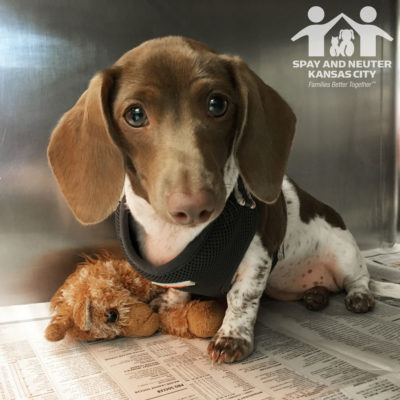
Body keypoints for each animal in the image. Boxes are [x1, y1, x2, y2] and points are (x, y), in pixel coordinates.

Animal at [47, 36, 400, 362]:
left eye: (217, 104)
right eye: (135, 115)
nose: (193, 206)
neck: (176, 236)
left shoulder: (258, 258)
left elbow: (241, 298)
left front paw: (232, 337)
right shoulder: (178, 276)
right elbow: (178, 291)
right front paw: (169, 305)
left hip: (345, 253)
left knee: (360, 279)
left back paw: (359, 296)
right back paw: (316, 296)